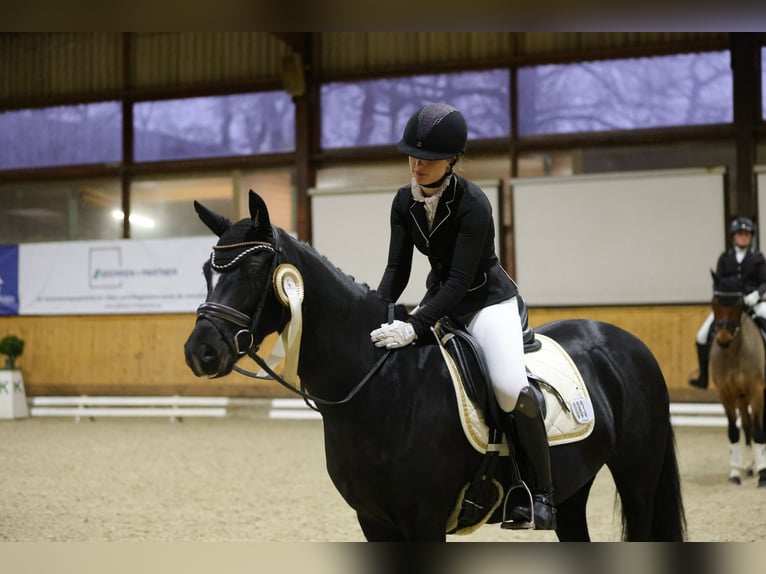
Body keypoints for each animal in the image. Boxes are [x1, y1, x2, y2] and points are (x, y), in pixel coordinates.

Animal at [183, 194, 688, 544]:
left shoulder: (424, 522)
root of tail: (624, 341)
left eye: (252, 272)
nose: (199, 352)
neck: (379, 387)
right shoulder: (373, 522)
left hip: (637, 477)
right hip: (573, 488)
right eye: (208, 271)